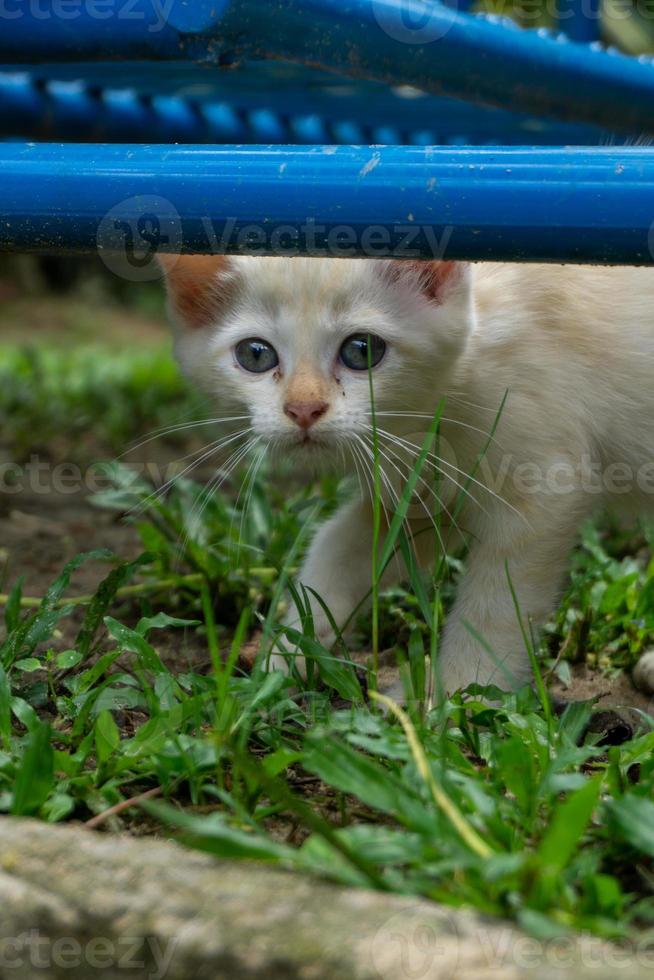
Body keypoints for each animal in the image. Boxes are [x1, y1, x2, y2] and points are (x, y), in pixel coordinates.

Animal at [161, 255, 654, 696]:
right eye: (255, 355)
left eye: (362, 350)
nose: (303, 409)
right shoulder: (425, 490)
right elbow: (340, 544)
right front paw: (289, 651)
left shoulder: (544, 483)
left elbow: (498, 603)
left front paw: (458, 693)